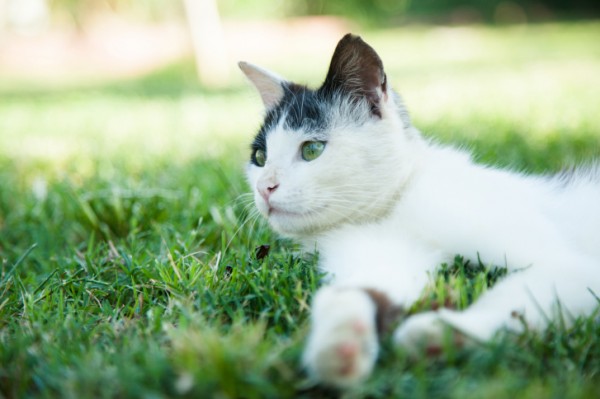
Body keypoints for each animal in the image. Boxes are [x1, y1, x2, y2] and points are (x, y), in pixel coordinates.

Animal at [239, 32, 600, 390]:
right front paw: (339, 345)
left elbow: (519, 293)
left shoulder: (568, 264)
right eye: (260, 157)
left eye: (312, 149)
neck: (394, 206)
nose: (265, 187)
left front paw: (446, 333)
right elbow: (353, 292)